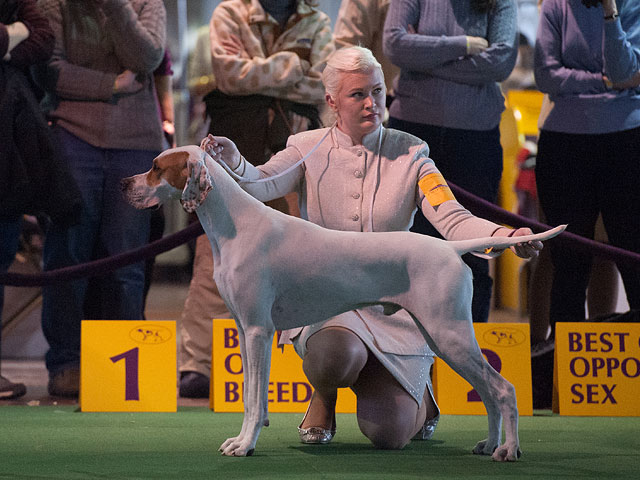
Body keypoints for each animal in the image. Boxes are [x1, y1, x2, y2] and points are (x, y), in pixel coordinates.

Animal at [122, 145, 564, 462]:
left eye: (157, 167)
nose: (124, 184)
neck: (235, 224)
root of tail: (451, 247)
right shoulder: (245, 330)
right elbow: (250, 393)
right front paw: (243, 439)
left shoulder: (258, 331)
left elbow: (254, 398)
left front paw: (245, 445)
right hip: (444, 338)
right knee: (489, 392)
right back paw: (489, 445)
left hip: (450, 335)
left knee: (504, 389)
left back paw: (508, 450)